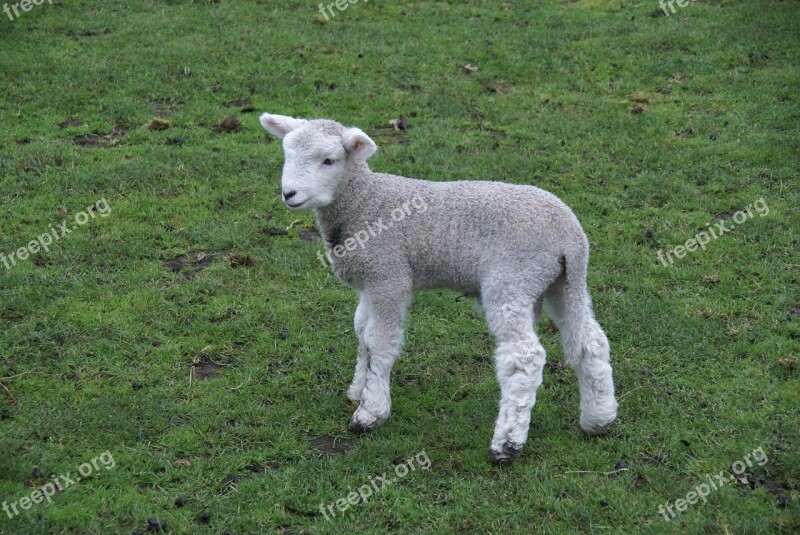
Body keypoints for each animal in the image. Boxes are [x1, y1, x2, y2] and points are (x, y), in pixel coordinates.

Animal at [260, 113, 616, 464]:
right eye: (286, 153)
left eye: (329, 160)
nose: (289, 194)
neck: (363, 202)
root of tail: (571, 237)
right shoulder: (369, 282)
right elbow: (362, 335)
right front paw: (358, 389)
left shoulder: (388, 276)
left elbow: (379, 342)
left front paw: (370, 411)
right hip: (562, 283)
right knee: (591, 342)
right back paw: (599, 419)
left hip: (512, 278)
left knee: (524, 356)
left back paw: (506, 444)